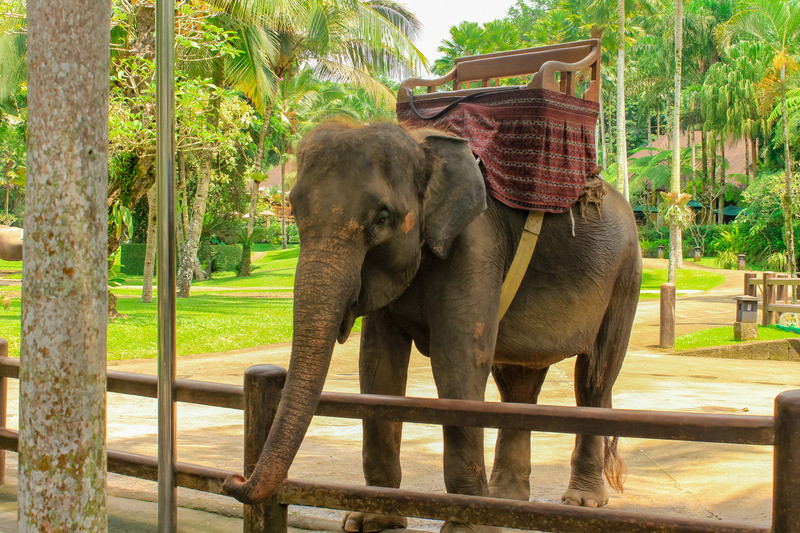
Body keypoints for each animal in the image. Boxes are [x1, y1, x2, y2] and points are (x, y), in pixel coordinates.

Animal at [225, 120, 644, 532]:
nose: (234, 481)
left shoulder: (475, 247)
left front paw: (466, 526)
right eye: (294, 211)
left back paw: (581, 502)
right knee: (518, 382)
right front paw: (370, 521)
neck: (421, 145)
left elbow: (456, 362)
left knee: (593, 377)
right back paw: (507, 503)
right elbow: (377, 366)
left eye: (382, 219)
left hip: (625, 275)